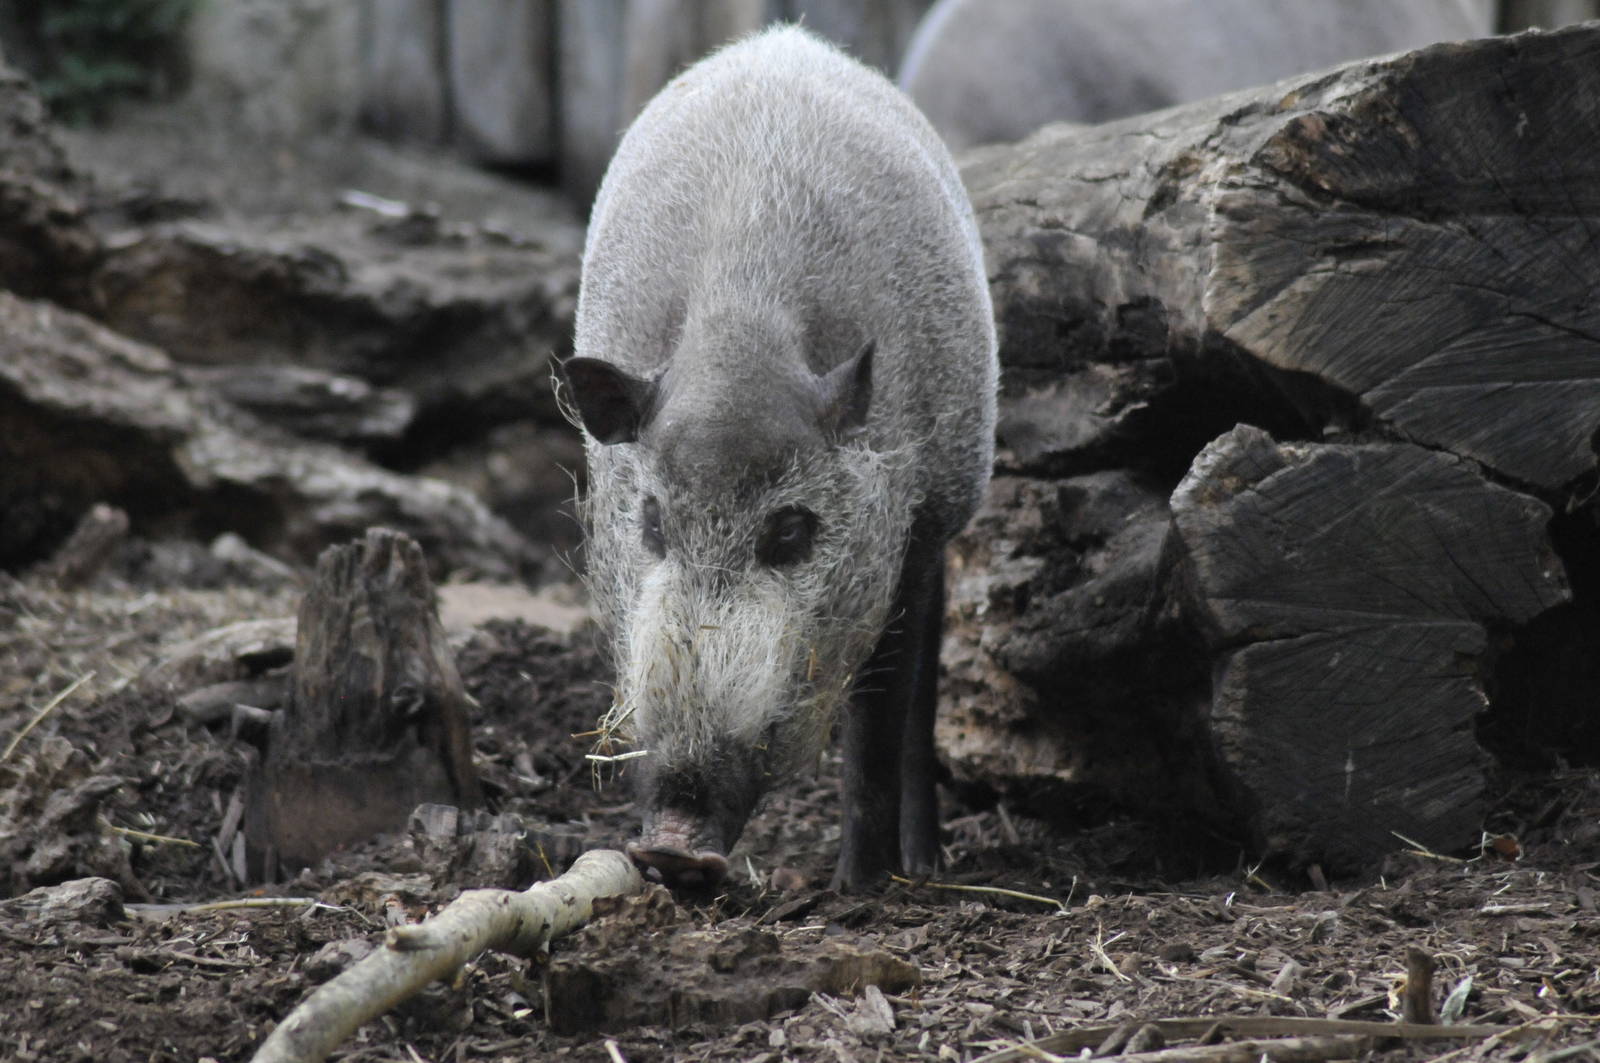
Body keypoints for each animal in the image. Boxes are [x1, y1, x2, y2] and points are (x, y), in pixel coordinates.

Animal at [559, 24, 997, 890]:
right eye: (651, 521)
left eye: (791, 530)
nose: (673, 844)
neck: (739, 340)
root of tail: (785, 38)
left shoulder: (906, 528)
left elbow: (878, 715)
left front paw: (856, 890)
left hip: (947, 504)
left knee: (922, 687)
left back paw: (925, 867)